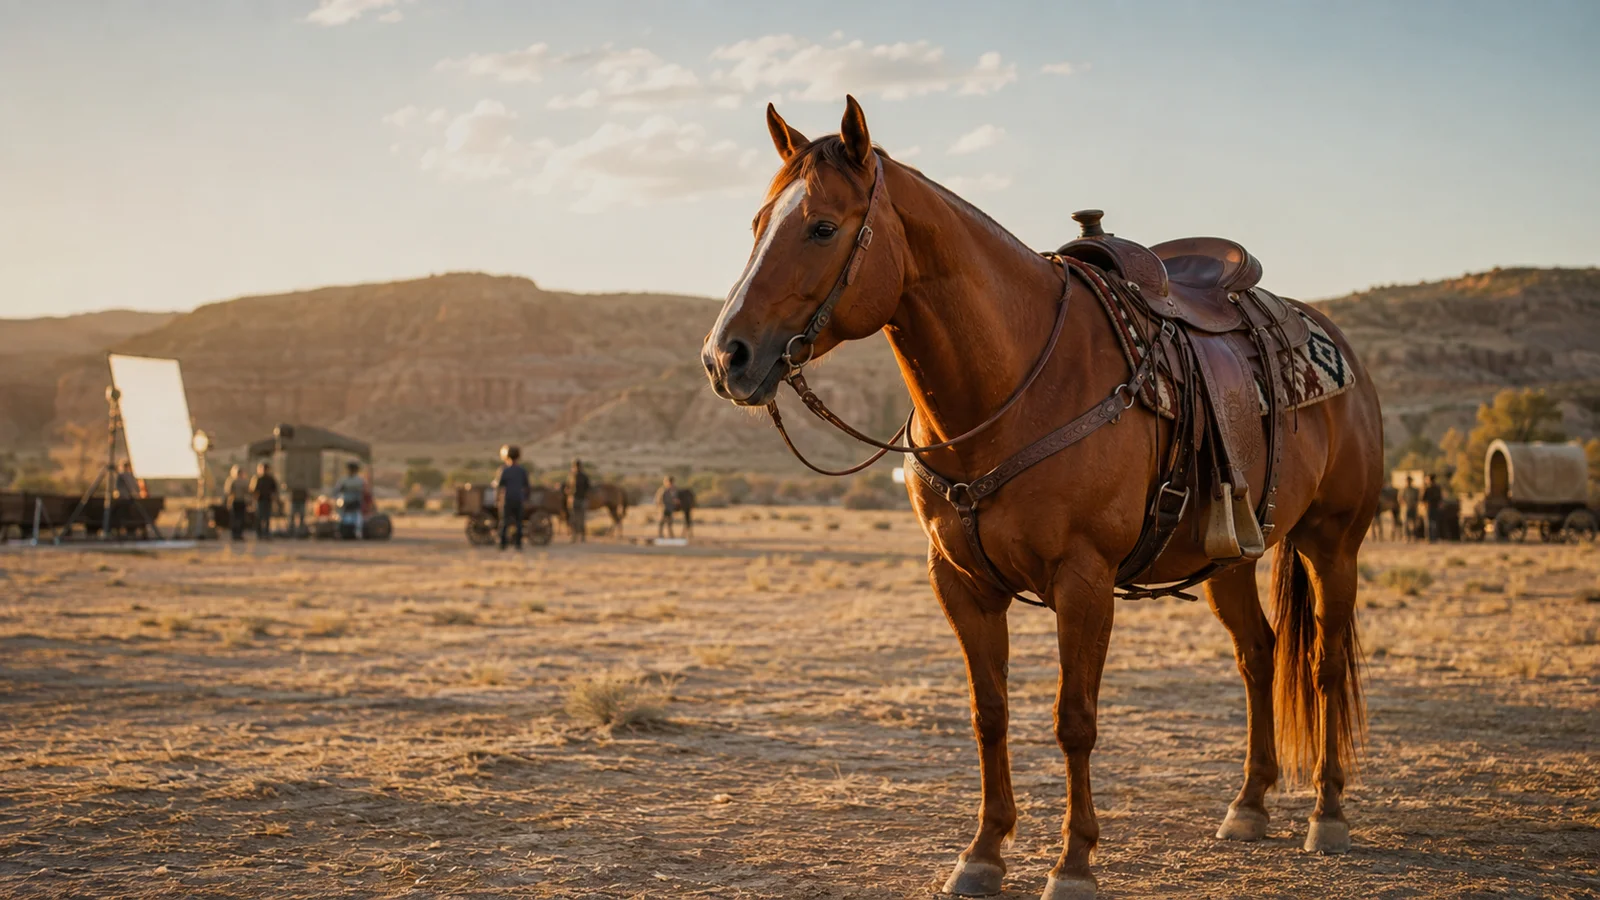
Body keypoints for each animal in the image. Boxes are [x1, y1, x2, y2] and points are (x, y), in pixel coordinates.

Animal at [701, 97, 1383, 898]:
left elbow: (1073, 719)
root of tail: (1340, 350)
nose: (726, 357)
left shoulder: (1082, 580)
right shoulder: (960, 583)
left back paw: (1328, 815)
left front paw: (1074, 861)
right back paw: (1248, 804)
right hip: (1233, 557)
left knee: (1325, 664)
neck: (1011, 385)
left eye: (822, 227)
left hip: (1332, 542)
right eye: (757, 223)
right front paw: (983, 852)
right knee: (1259, 654)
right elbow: (989, 714)